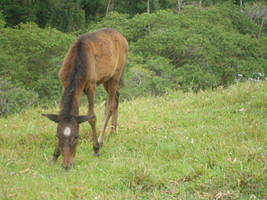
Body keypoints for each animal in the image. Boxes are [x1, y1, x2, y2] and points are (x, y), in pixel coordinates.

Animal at [42, 28, 129, 169]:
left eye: (76, 137)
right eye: (57, 136)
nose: (67, 165)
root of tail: (122, 37)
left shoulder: (91, 85)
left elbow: (92, 116)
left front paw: (96, 149)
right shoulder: (64, 84)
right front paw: (54, 156)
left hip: (116, 73)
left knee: (109, 106)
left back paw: (101, 140)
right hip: (106, 78)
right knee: (117, 96)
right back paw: (112, 132)